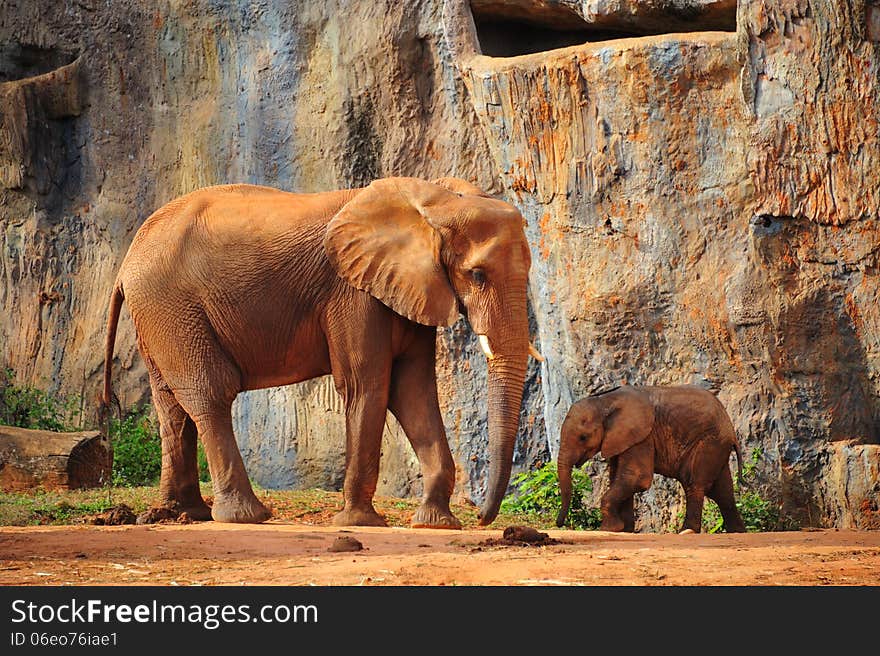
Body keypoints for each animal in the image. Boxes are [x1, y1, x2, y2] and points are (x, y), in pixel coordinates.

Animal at [105, 177, 540, 532]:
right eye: (477, 275)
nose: (482, 518)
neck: (435, 199)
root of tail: (127, 260)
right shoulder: (353, 292)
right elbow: (368, 385)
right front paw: (361, 522)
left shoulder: (408, 287)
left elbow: (413, 391)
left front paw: (435, 524)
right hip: (171, 306)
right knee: (209, 392)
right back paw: (246, 516)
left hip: (157, 314)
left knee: (172, 405)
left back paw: (181, 514)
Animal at [556, 384, 744, 532]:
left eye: (583, 437)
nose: (559, 524)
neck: (605, 401)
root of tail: (731, 429)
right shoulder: (621, 439)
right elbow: (620, 477)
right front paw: (625, 530)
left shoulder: (643, 435)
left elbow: (636, 478)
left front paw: (610, 529)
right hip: (718, 445)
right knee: (723, 492)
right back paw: (737, 531)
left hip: (709, 443)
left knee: (694, 484)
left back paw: (687, 531)